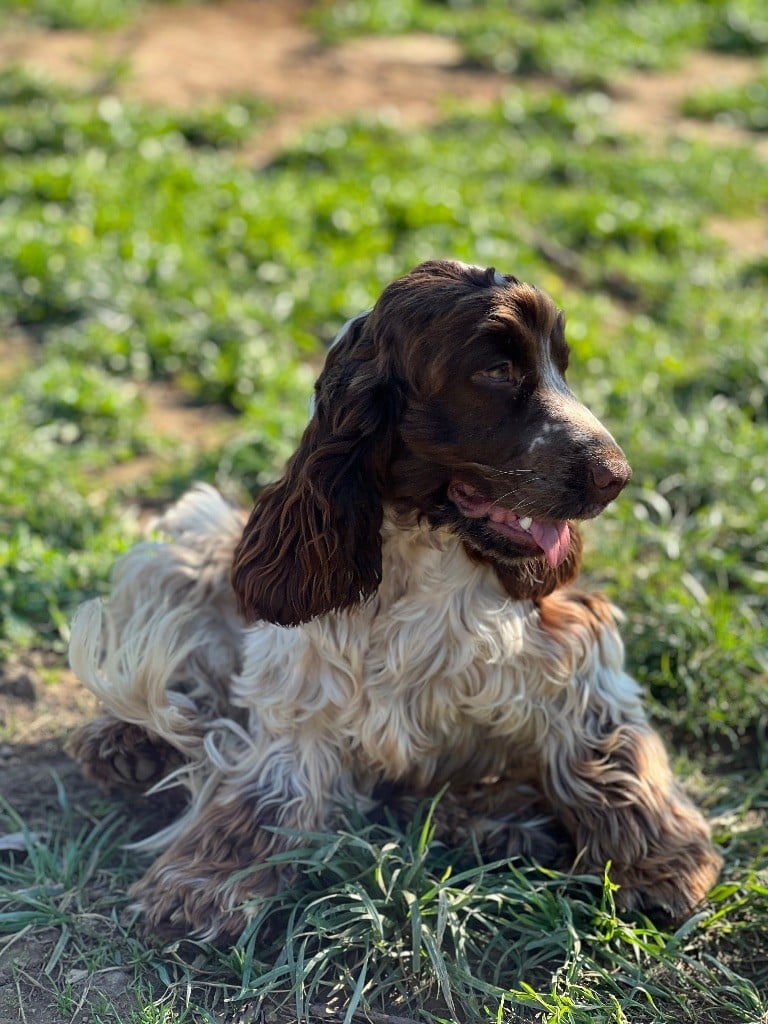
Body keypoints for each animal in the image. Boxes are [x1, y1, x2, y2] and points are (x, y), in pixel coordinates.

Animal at [69, 260, 724, 937]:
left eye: (561, 366)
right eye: (497, 370)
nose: (617, 476)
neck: (427, 550)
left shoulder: (576, 645)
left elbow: (609, 753)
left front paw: (659, 865)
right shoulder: (300, 697)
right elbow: (269, 790)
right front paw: (205, 879)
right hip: (186, 539)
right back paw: (125, 744)